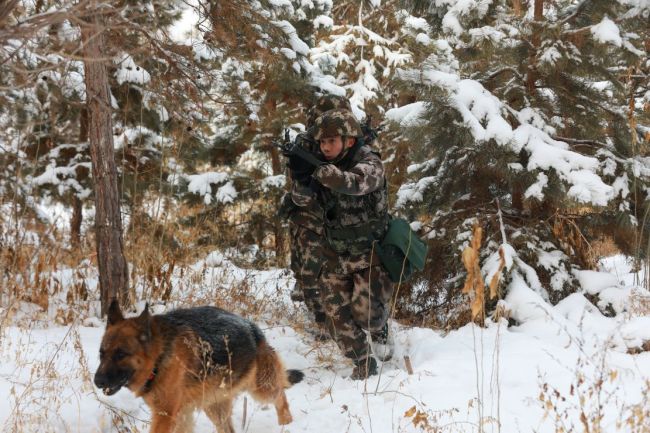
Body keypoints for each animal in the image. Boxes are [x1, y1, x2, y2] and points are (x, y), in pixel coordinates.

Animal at [92, 300, 302, 432]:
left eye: (121, 355)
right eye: (101, 353)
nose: (97, 381)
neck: (159, 357)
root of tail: (254, 329)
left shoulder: (166, 415)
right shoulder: (180, 415)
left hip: (262, 388)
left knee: (281, 396)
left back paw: (286, 424)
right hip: (214, 407)